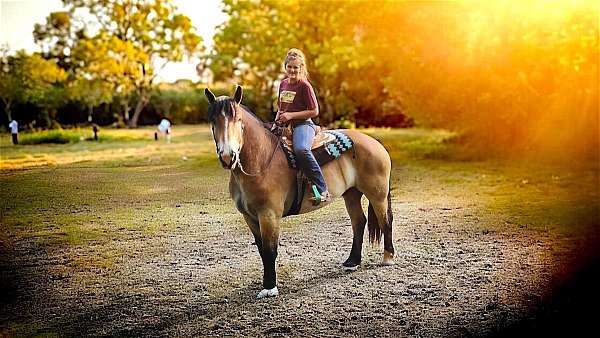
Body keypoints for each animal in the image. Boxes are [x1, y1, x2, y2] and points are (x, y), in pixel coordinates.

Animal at [204, 85, 396, 298]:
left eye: (238, 120)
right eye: (213, 121)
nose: (227, 157)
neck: (261, 161)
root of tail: (375, 143)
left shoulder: (269, 215)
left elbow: (270, 250)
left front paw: (270, 287)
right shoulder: (250, 217)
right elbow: (262, 250)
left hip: (377, 194)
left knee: (385, 221)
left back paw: (388, 257)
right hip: (351, 194)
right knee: (359, 222)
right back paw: (352, 261)